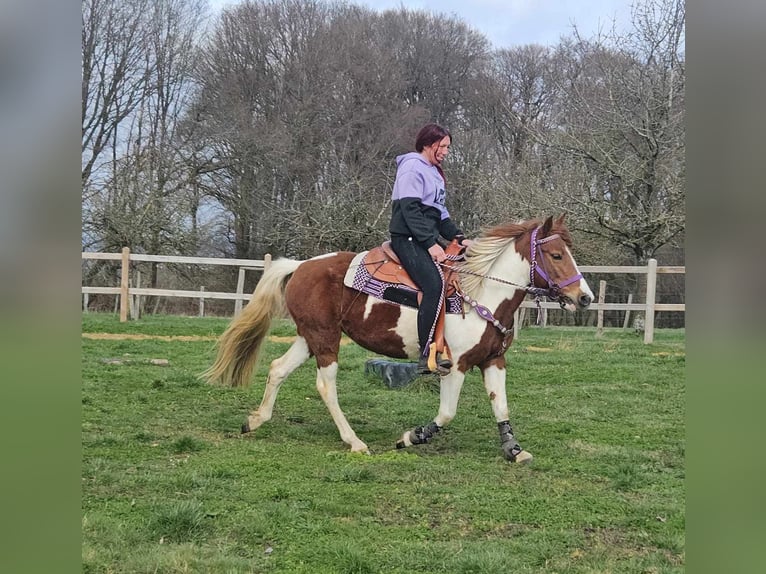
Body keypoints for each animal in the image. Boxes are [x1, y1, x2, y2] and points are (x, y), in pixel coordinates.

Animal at [203, 215, 594, 463]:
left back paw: (255, 420)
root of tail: (300, 267)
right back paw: (355, 442)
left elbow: (502, 407)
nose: (585, 297)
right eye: (556, 255)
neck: (480, 292)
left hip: (311, 336)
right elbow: (447, 413)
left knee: (278, 369)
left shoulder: (493, 360)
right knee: (325, 385)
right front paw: (410, 437)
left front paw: (514, 450)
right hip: (325, 340)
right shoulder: (455, 366)